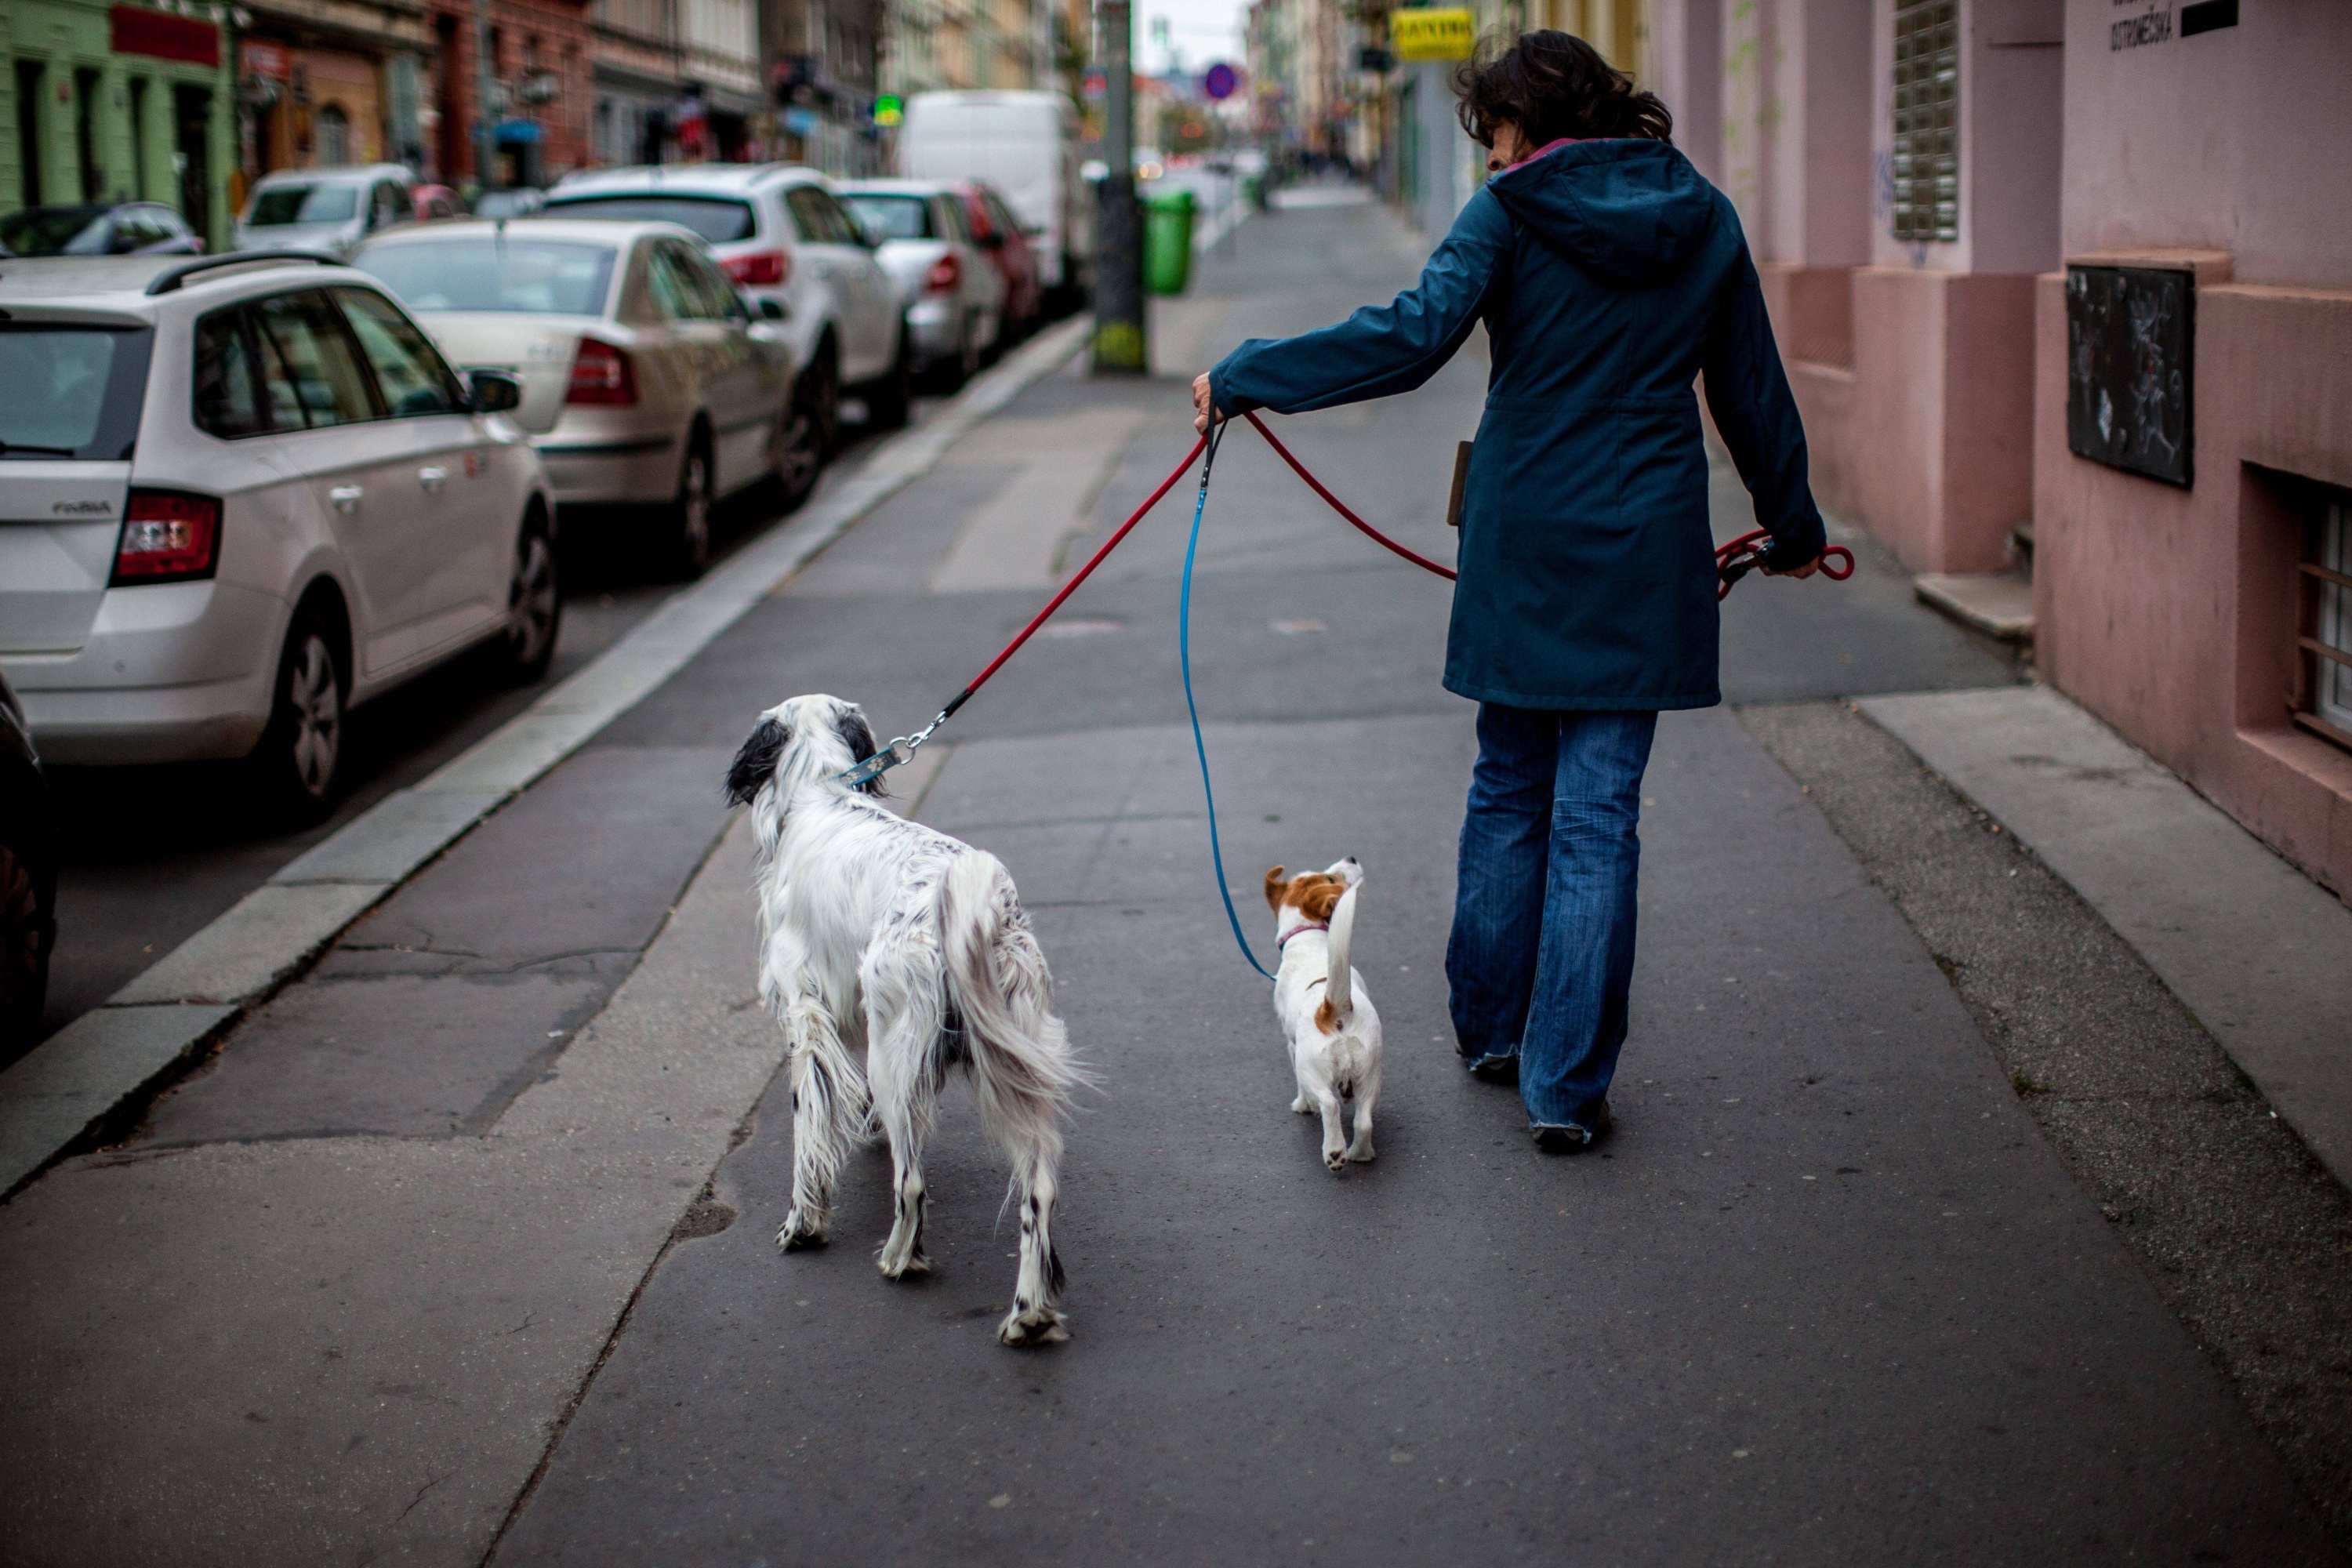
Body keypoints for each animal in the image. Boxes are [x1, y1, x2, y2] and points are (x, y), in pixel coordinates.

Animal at [724, 700, 1082, 1354]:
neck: (821, 791)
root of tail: (980, 911)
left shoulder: (806, 1014)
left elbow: (810, 1133)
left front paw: (803, 1223)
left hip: (897, 1057)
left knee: (911, 1182)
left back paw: (899, 1258)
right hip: (1017, 1069)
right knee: (1037, 1194)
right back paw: (1029, 1315)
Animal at [1270, 860, 1374, 1175]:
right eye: (1329, 877)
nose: (1352, 858)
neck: (1306, 939)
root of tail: (1333, 1007)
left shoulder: (1292, 1046)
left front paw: (1303, 1105)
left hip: (1311, 1068)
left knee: (1330, 1105)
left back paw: (1335, 1152)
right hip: (1370, 1072)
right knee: (1364, 1120)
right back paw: (1360, 1154)